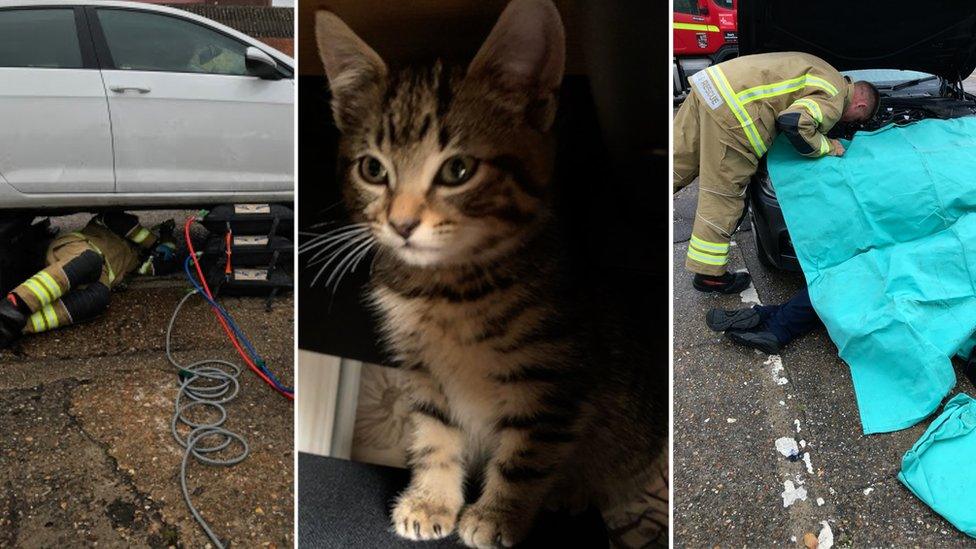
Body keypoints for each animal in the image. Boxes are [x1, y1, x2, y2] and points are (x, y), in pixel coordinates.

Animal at [316, 2, 668, 544]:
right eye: (372, 170)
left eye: (457, 170)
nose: (401, 223)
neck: (445, 290)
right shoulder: (423, 375)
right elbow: (434, 435)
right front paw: (431, 501)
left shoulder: (553, 380)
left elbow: (526, 455)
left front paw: (497, 515)